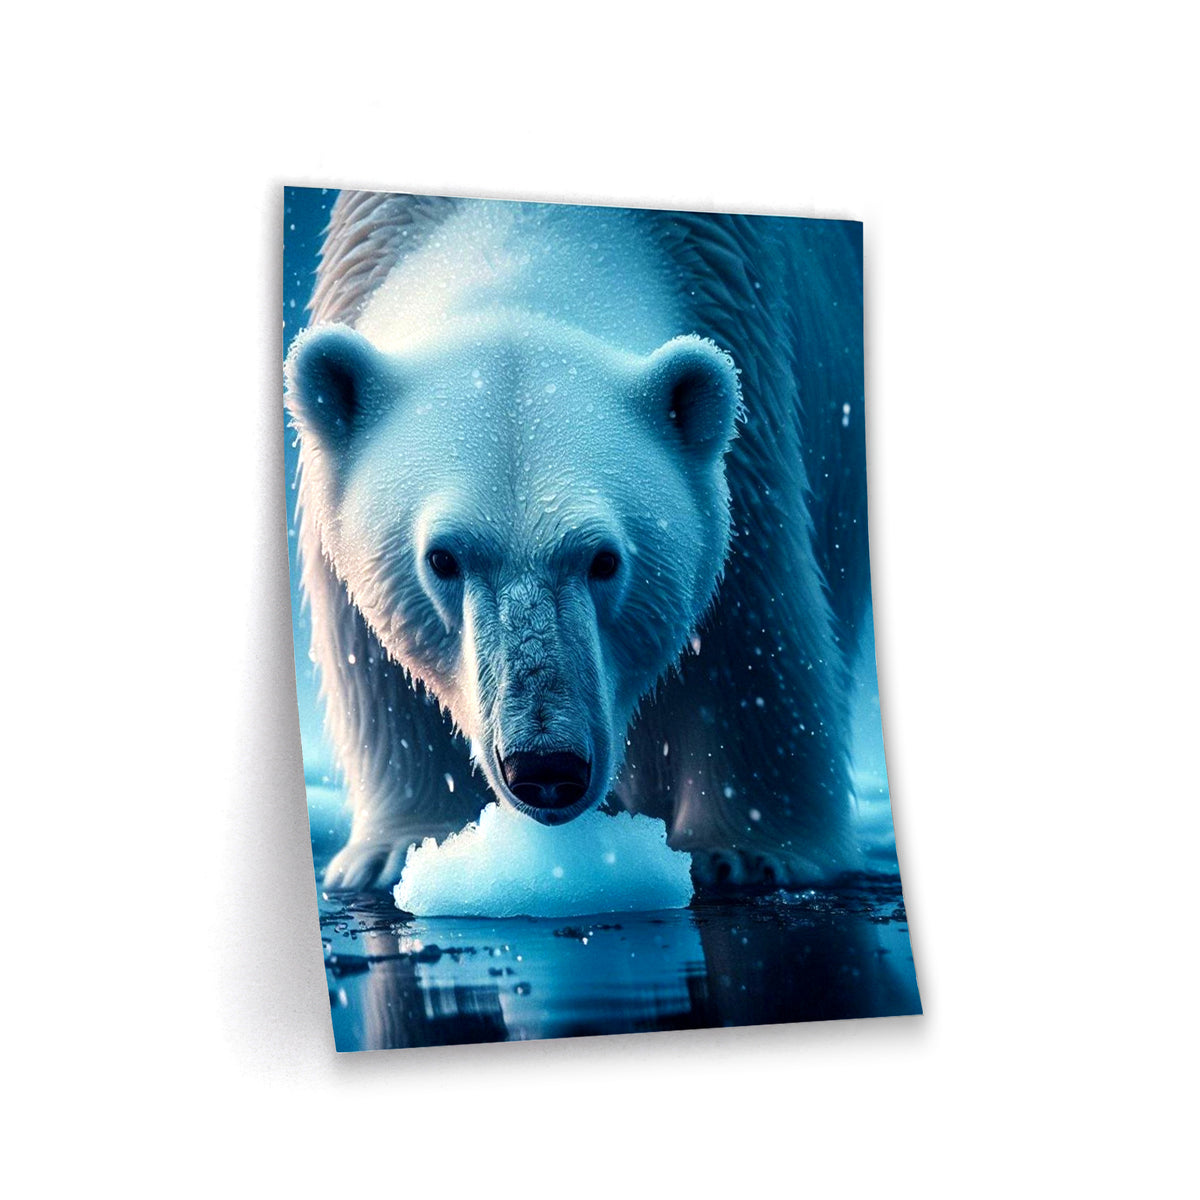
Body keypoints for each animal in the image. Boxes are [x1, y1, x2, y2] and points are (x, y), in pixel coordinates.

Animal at [285, 191, 869, 892]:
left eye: (605, 559)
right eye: (442, 558)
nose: (545, 767)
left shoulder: (750, 396)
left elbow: (745, 638)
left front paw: (746, 853)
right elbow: (375, 663)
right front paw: (399, 851)